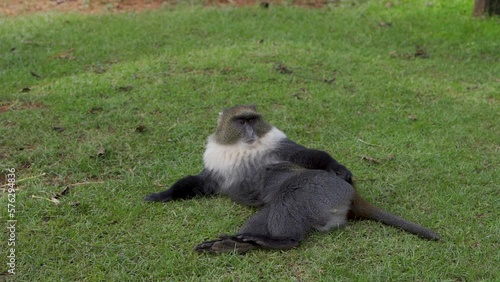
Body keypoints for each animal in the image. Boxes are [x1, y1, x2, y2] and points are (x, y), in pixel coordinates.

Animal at [144, 104, 438, 250]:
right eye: (241, 121)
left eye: (253, 119)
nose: (251, 131)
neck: (241, 146)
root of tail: (354, 196)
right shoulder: (216, 168)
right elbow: (200, 183)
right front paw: (162, 195)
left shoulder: (279, 147)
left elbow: (307, 155)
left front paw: (339, 167)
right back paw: (234, 244)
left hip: (323, 190)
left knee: (289, 200)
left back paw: (281, 242)